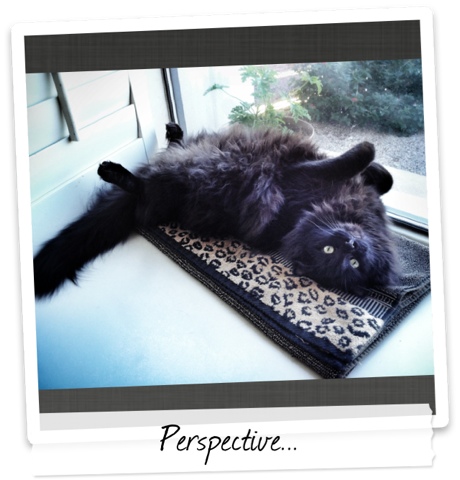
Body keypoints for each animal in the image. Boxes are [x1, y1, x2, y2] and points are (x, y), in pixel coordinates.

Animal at [33, 122, 399, 298]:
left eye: (352, 263)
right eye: (332, 250)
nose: (352, 245)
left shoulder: (299, 178)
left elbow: (345, 162)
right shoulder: (308, 172)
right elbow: (374, 169)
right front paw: (374, 162)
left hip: (173, 190)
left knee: (143, 191)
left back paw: (114, 172)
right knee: (174, 149)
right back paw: (173, 130)